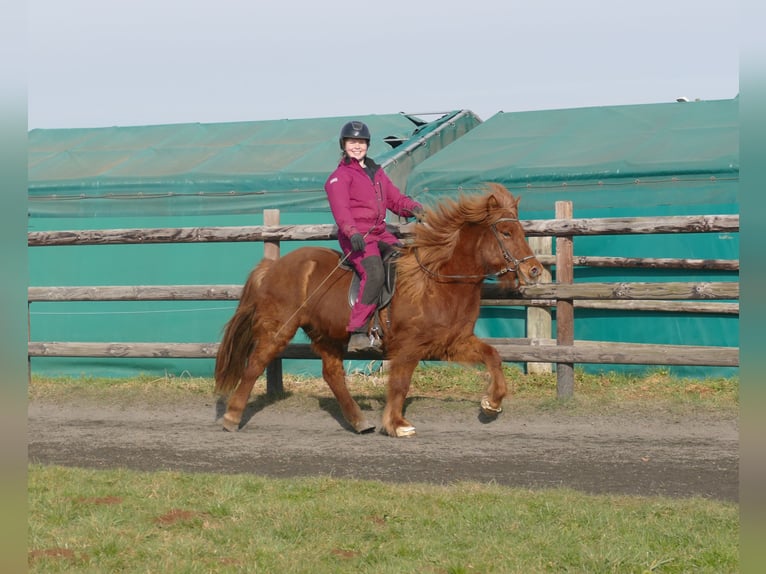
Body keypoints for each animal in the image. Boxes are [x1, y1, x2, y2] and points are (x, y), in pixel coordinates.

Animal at [213, 182, 544, 438]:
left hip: (326, 334)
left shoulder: (453, 342)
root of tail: (273, 266)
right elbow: (399, 383)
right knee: (255, 364)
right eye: (505, 232)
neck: (437, 280)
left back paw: (359, 422)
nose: (535, 271)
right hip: (280, 327)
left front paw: (492, 404)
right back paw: (231, 417)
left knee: (332, 374)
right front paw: (397, 424)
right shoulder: (409, 346)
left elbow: (493, 356)